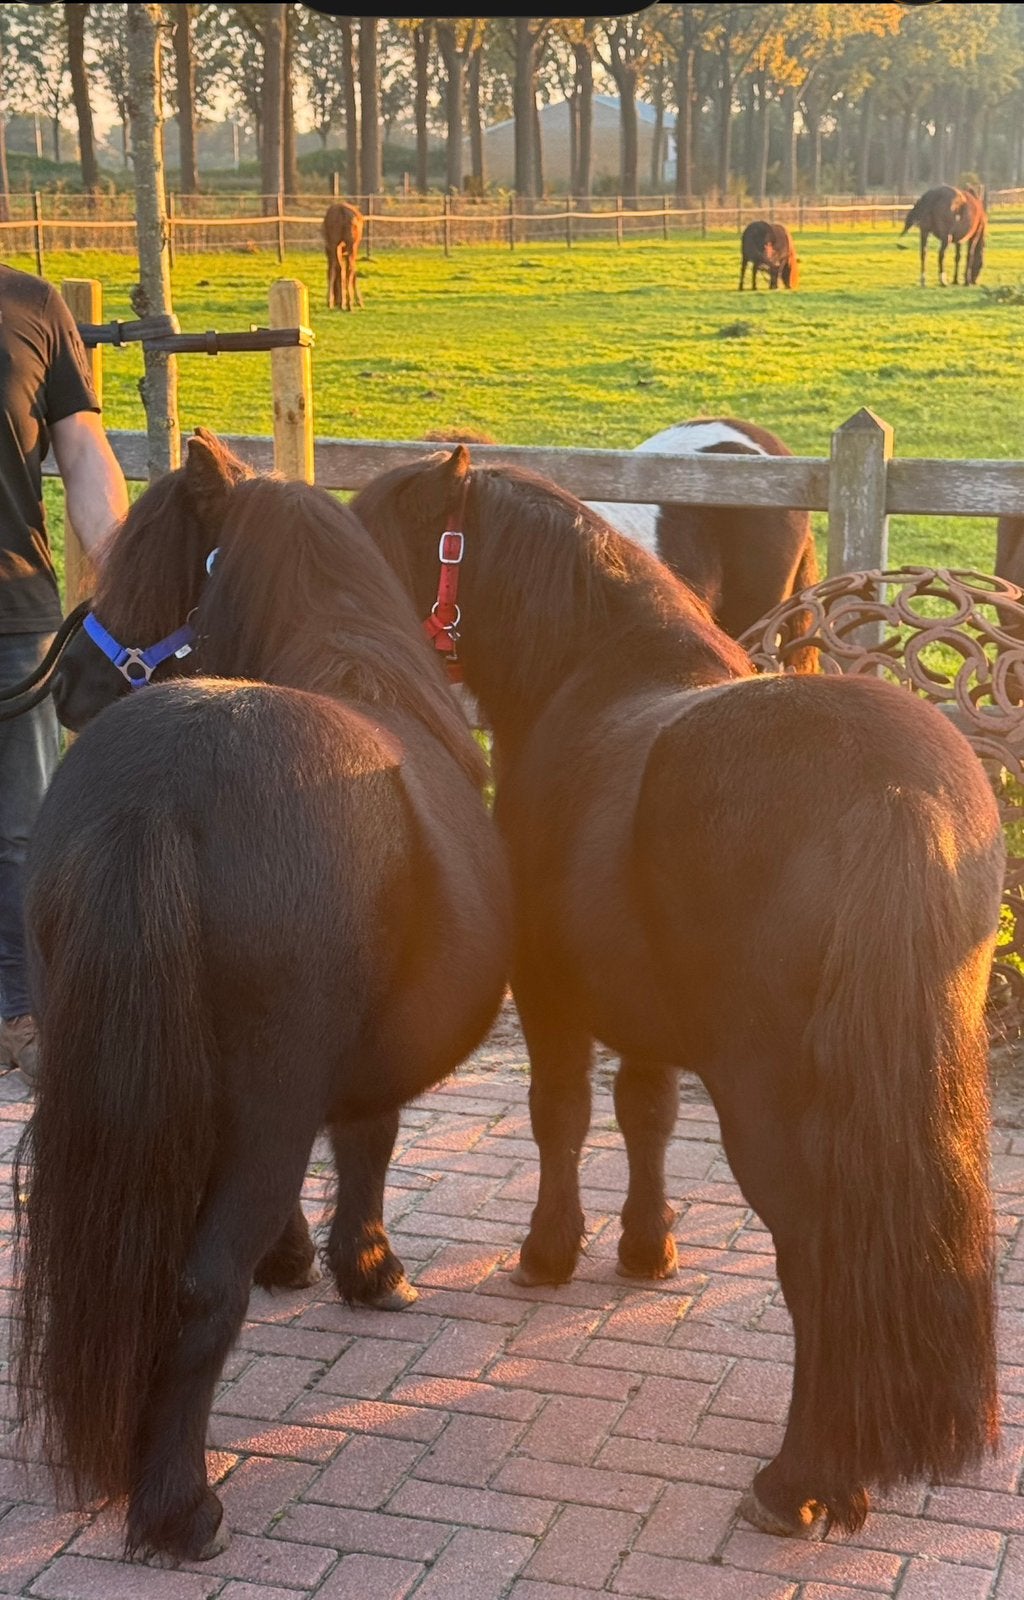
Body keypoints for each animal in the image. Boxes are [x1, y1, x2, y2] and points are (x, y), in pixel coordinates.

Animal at [16, 431, 511, 1564]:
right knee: (201, 1282)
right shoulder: (334, 1086)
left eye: (157, 563)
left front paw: (296, 1259)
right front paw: (367, 1268)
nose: (69, 685)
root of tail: (161, 790)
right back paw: (178, 1506)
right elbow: (369, 1143)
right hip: (271, 1100)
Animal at [351, 445, 1004, 1542]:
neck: (594, 669)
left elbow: (562, 1114)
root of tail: (895, 796)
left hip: (771, 1097)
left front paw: (549, 1252)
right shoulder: (647, 1015)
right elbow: (645, 1115)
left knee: (818, 1258)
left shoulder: (552, 995)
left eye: (365, 534)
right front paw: (645, 1248)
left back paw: (801, 1481)